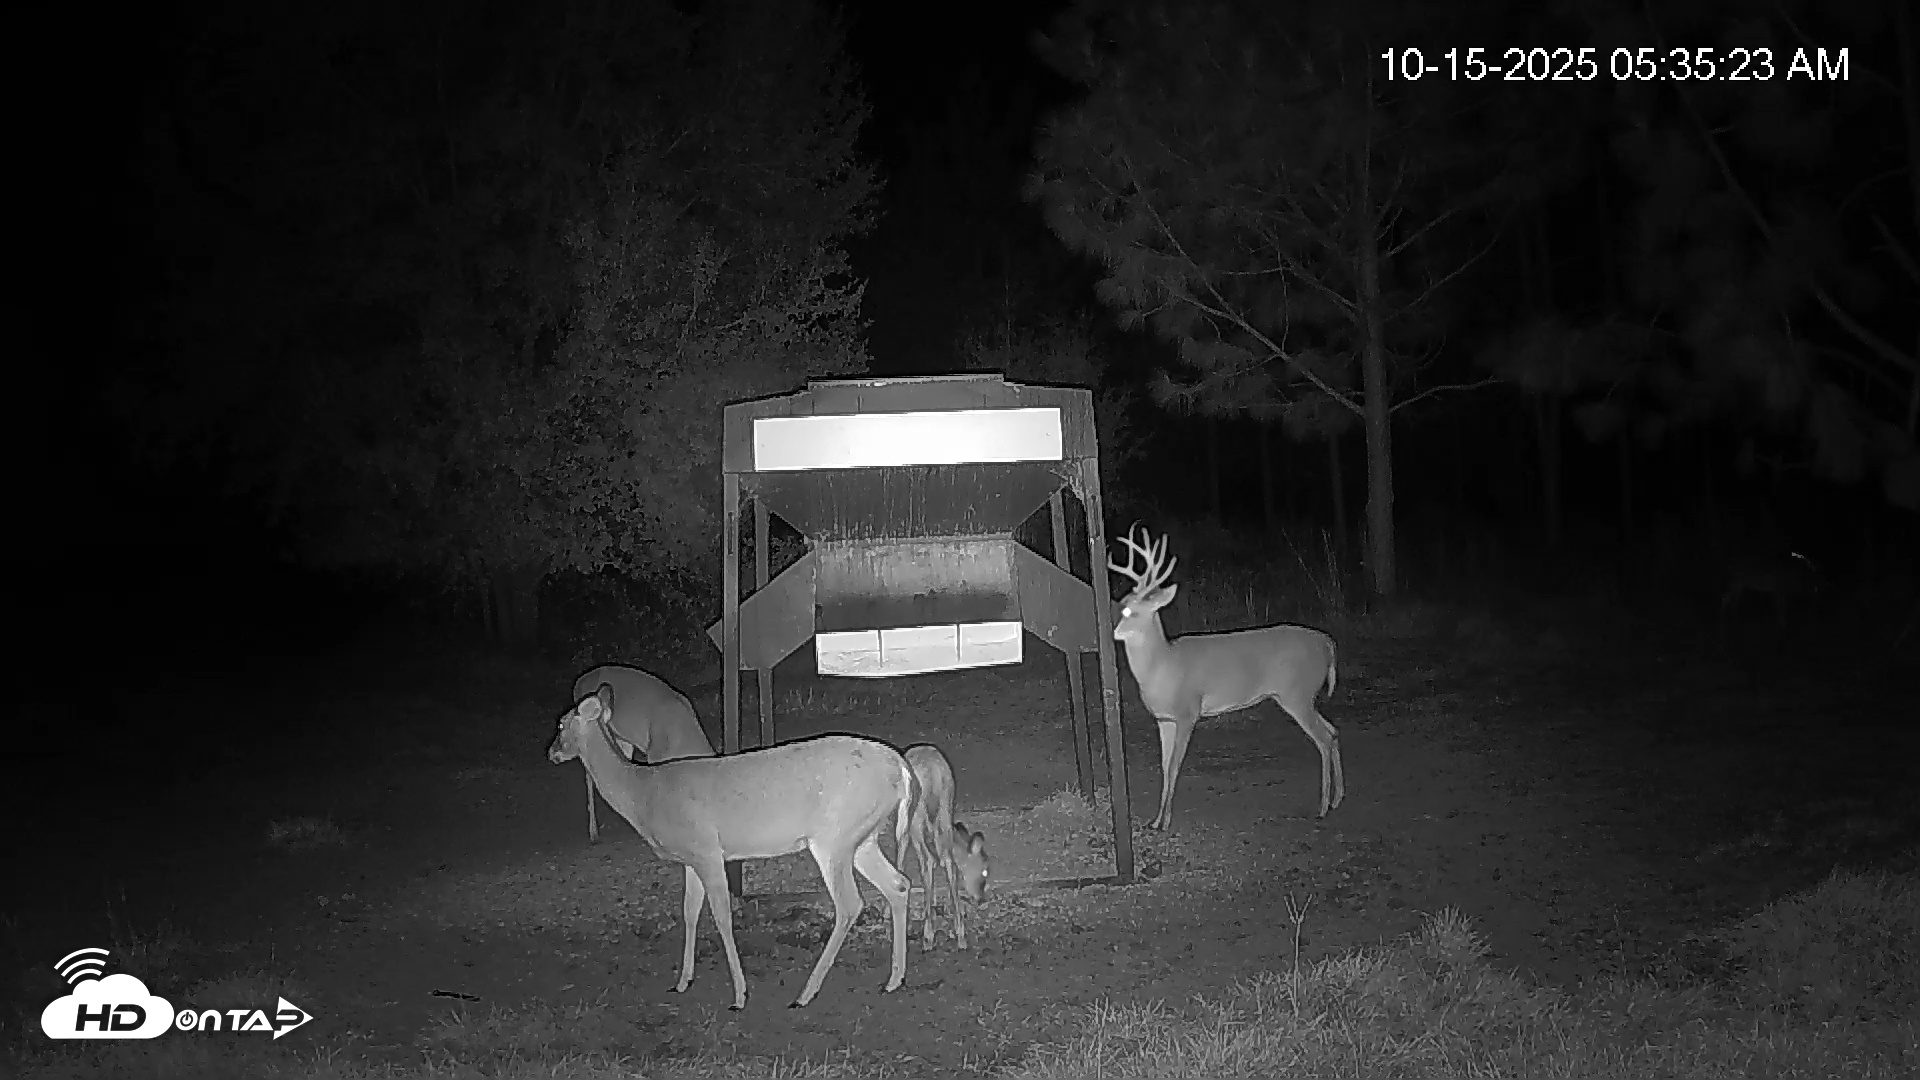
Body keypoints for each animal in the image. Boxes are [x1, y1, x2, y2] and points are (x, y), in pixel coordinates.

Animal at [547, 684, 913, 1010]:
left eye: (562, 724)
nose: (551, 752)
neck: (644, 796)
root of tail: (902, 769)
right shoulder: (692, 857)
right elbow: (689, 911)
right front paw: (683, 982)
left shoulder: (708, 851)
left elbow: (722, 916)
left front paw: (739, 996)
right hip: (861, 837)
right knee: (898, 884)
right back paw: (894, 980)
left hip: (833, 837)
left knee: (850, 903)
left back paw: (805, 994)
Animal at [902, 744, 991, 951]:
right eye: (984, 871)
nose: (981, 899)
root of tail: (933, 773)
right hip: (946, 806)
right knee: (948, 862)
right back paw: (961, 936)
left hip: (916, 816)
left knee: (927, 861)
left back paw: (928, 936)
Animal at [1108, 525, 1343, 831]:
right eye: (1123, 604)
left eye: (1132, 611)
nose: (1115, 632)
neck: (1163, 666)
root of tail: (1328, 643)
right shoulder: (1164, 719)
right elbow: (1163, 767)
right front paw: (1155, 820)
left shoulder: (1188, 712)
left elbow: (1174, 766)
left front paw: (1165, 822)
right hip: (1304, 697)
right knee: (1334, 731)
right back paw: (1337, 799)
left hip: (1298, 693)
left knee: (1324, 739)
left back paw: (1323, 807)